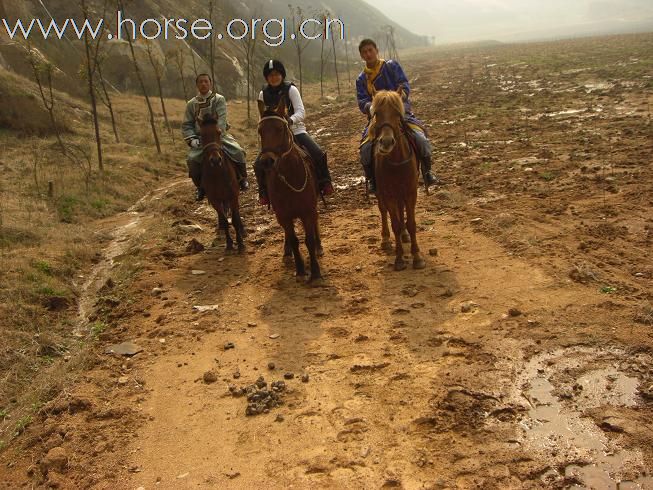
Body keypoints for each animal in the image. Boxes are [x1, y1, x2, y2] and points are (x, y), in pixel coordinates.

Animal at [197, 114, 246, 253]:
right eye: (201, 135)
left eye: (219, 132)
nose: (215, 160)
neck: (218, 173)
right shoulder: (215, 200)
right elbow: (224, 220)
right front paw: (229, 244)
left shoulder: (233, 196)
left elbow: (234, 219)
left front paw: (240, 243)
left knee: (237, 213)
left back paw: (242, 231)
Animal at [258, 100, 324, 284]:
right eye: (260, 131)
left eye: (280, 128)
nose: (266, 161)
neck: (289, 177)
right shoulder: (284, 215)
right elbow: (294, 240)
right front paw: (300, 270)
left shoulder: (307, 211)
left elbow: (308, 240)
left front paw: (315, 272)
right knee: (288, 235)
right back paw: (287, 252)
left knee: (315, 223)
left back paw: (319, 247)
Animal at [370, 90, 426, 270]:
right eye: (377, 113)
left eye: (397, 113)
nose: (386, 142)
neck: (396, 161)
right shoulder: (388, 194)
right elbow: (393, 222)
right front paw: (400, 258)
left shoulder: (410, 192)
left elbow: (412, 223)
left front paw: (417, 256)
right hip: (382, 193)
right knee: (383, 211)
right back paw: (386, 240)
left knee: (401, 211)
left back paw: (404, 234)